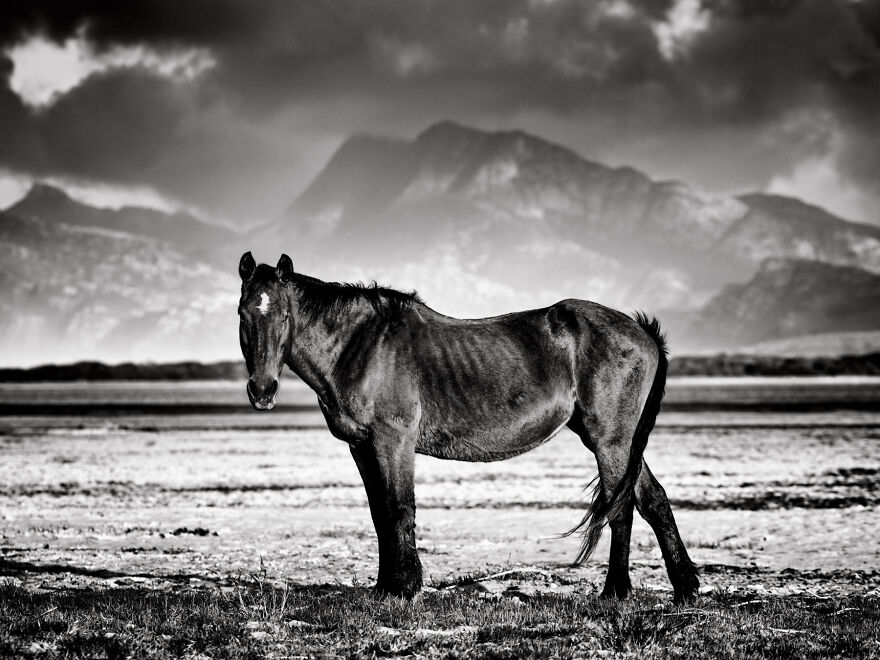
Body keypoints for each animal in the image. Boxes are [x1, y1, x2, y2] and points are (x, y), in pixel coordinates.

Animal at [237, 251, 699, 602]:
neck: (360, 345)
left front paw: (404, 588)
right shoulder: (362, 446)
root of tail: (642, 331)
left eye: (283, 316)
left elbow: (399, 509)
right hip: (614, 439)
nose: (262, 390)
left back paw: (615, 592)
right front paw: (385, 587)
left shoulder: (393, 440)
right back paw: (685, 589)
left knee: (621, 508)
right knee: (652, 499)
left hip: (610, 440)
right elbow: (379, 513)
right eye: (243, 314)